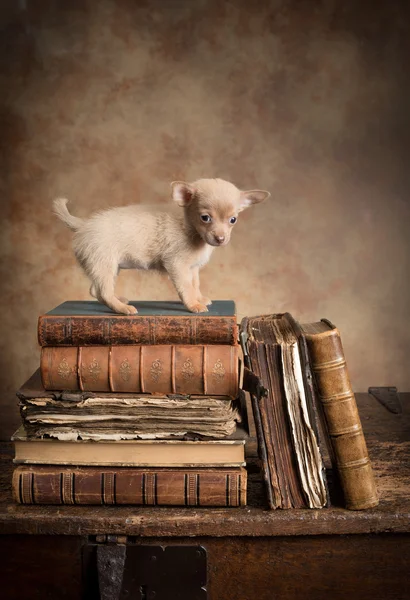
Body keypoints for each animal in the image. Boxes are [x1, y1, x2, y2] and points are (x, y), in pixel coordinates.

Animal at [53, 178, 270, 316]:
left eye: (233, 220)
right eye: (205, 218)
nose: (220, 238)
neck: (190, 230)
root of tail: (83, 225)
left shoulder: (193, 268)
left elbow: (195, 284)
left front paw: (199, 298)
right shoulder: (177, 265)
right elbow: (186, 288)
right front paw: (193, 305)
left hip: (106, 267)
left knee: (94, 290)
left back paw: (119, 301)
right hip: (104, 264)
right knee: (103, 291)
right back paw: (122, 309)